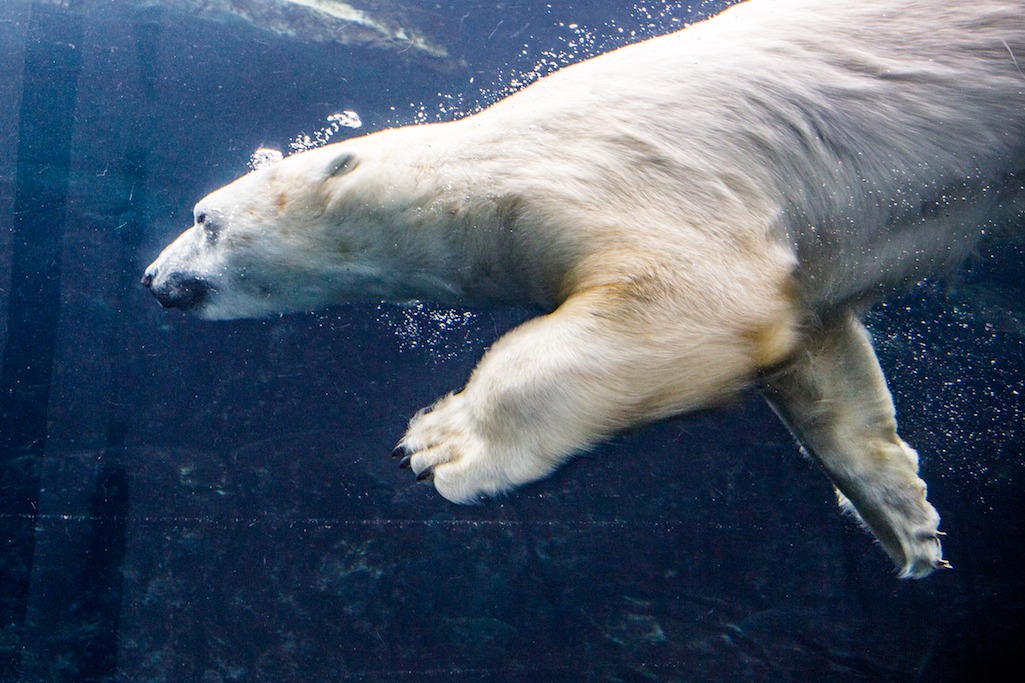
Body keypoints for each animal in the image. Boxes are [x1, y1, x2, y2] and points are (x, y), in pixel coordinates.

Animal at [144, 0, 1025, 574]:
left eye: (203, 218)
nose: (153, 279)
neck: (476, 172)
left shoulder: (608, 173)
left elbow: (694, 296)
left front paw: (444, 442)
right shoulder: (805, 254)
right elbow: (808, 343)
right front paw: (903, 518)